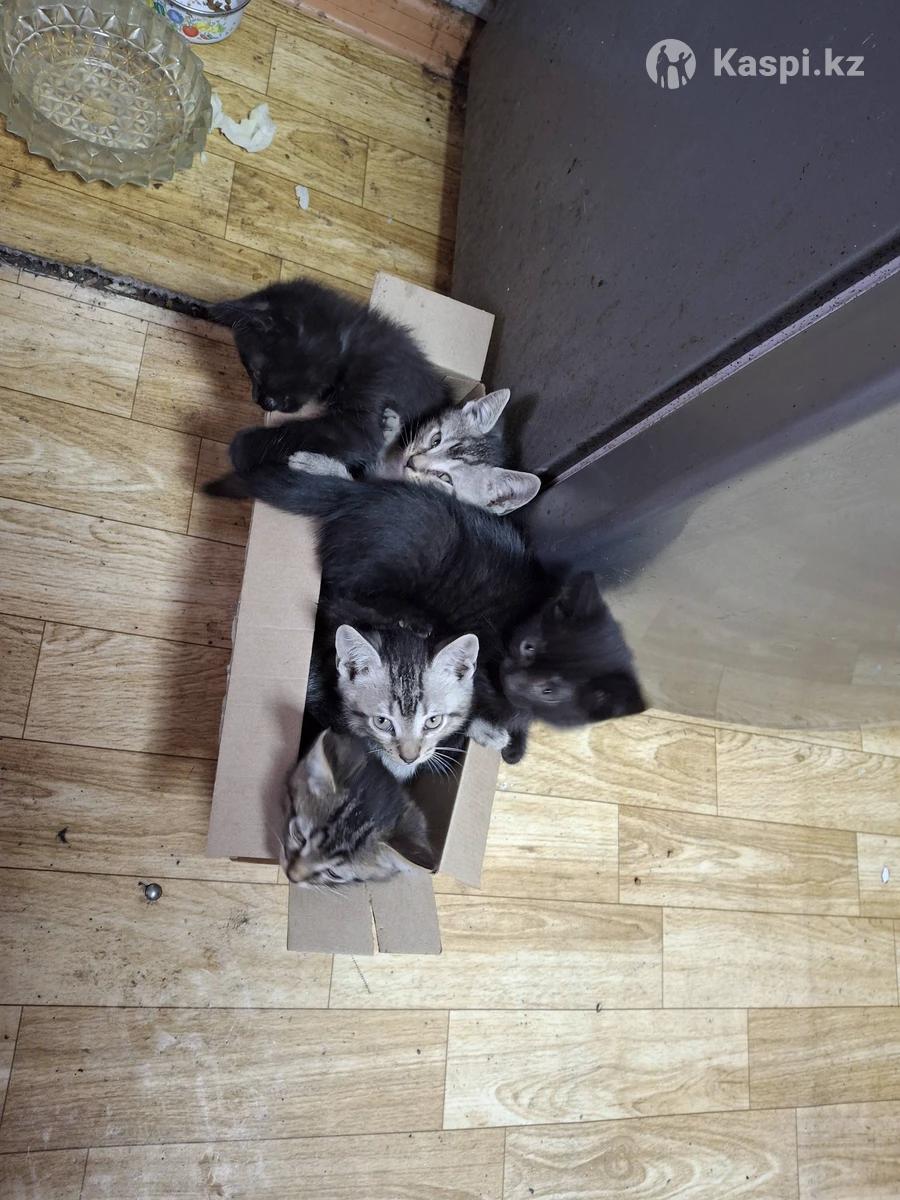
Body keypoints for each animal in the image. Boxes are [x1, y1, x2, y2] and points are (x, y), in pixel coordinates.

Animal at [226, 458, 645, 763]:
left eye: (549, 691)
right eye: (529, 646)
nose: (510, 675)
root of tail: (364, 500)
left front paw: (515, 744)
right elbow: (465, 711)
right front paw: (492, 734)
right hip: (402, 558)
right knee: (341, 594)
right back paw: (413, 618)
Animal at [286, 388, 542, 516]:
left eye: (444, 478)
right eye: (436, 439)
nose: (412, 462)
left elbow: (349, 482)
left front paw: (319, 465)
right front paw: (392, 430)